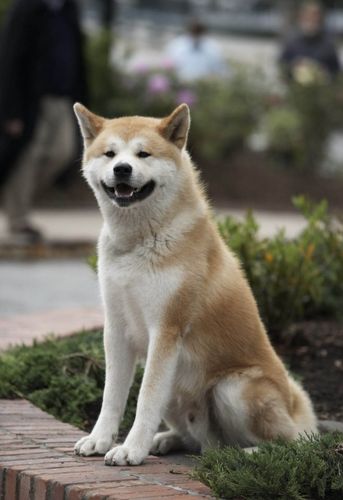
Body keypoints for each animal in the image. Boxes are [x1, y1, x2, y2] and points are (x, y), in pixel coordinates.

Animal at [72, 103, 318, 466]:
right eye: (110, 154)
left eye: (143, 154)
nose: (122, 169)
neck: (139, 241)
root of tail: (293, 405)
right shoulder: (116, 329)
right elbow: (111, 396)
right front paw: (100, 439)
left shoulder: (166, 330)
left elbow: (145, 399)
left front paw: (131, 449)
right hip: (179, 393)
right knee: (196, 441)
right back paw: (167, 440)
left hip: (233, 389)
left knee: (288, 443)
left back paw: (247, 453)